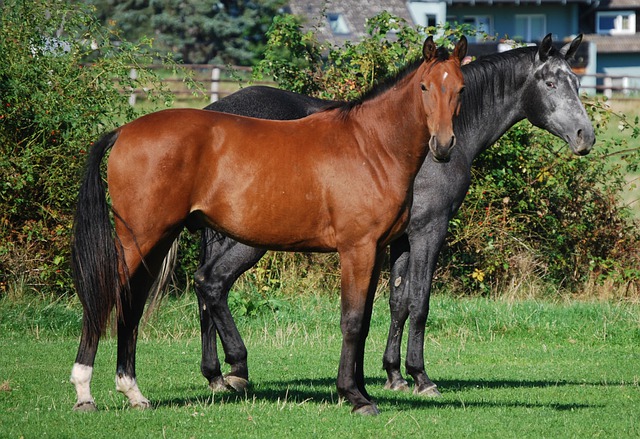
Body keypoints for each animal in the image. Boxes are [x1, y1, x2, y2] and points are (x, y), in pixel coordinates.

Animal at [70, 35, 468, 416]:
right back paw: (85, 392)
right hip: (139, 237)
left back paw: (133, 392)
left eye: (460, 89)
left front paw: (362, 391)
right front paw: (355, 397)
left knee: (132, 303)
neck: (371, 146)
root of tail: (124, 131)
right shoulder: (357, 249)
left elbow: (366, 320)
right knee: (106, 298)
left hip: (156, 240)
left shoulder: (378, 249)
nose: (444, 144)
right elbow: (352, 321)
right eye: (424, 87)